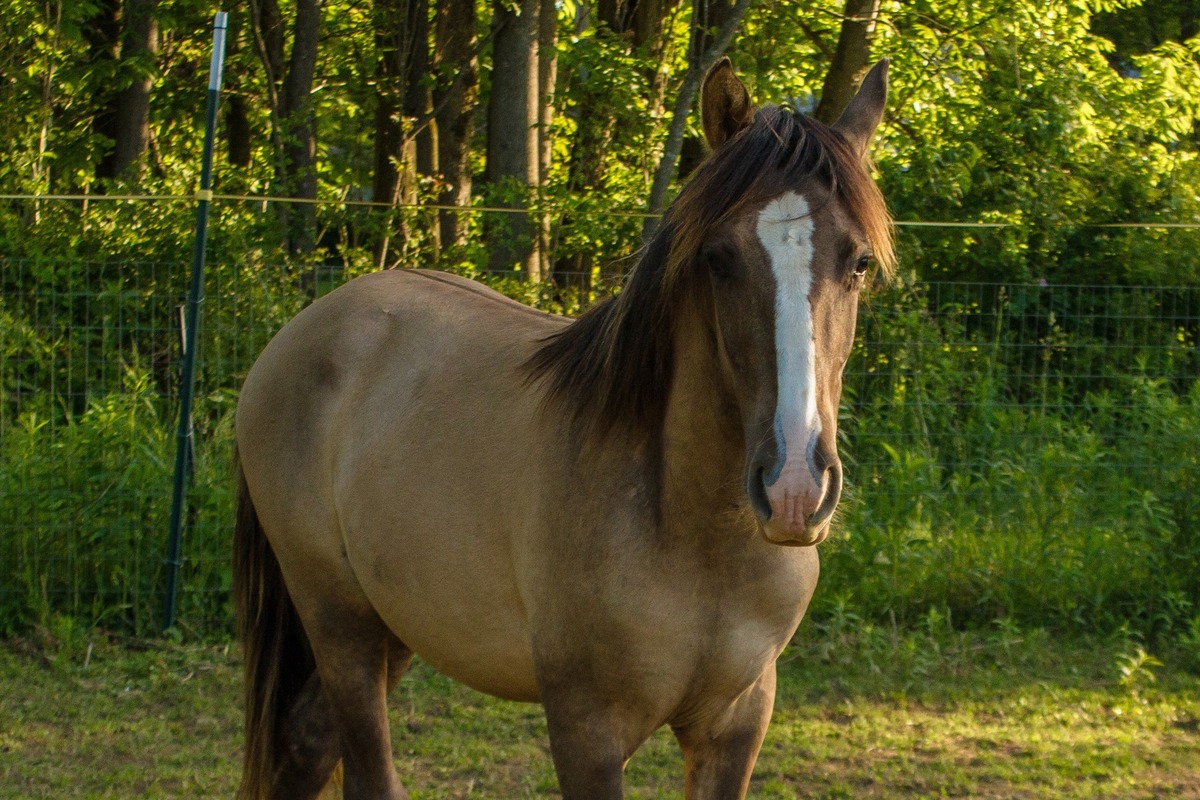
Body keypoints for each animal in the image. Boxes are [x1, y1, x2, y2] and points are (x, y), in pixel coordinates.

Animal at [233, 57, 894, 800]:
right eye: (718, 258)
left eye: (858, 262)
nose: (793, 488)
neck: (695, 536)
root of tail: (297, 336)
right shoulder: (587, 729)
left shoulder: (737, 723)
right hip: (338, 622)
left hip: (391, 624)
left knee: (308, 742)